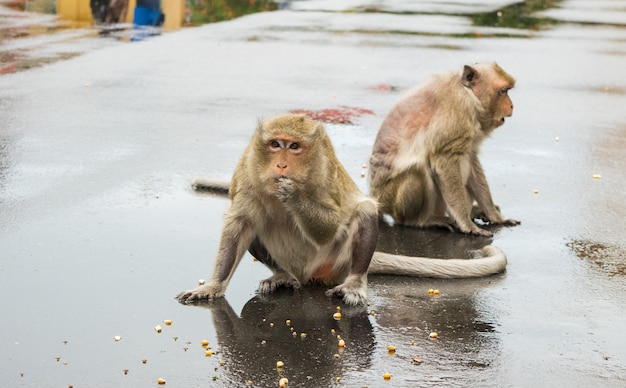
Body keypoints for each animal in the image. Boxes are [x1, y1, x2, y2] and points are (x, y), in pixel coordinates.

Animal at [177, 113, 508, 308]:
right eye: (275, 144)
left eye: (293, 147)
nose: (281, 165)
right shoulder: (246, 170)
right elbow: (241, 224)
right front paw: (213, 286)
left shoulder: (324, 171)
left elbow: (330, 225)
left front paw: (293, 194)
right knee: (258, 227)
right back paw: (283, 275)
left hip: (334, 263)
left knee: (363, 212)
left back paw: (354, 284)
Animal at [368, 61, 520, 236]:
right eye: (503, 91)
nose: (511, 106)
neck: (469, 95)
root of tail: (375, 197)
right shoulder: (457, 120)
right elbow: (444, 161)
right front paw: (467, 224)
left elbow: (471, 158)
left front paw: (494, 215)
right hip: (390, 200)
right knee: (417, 170)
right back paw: (421, 221)